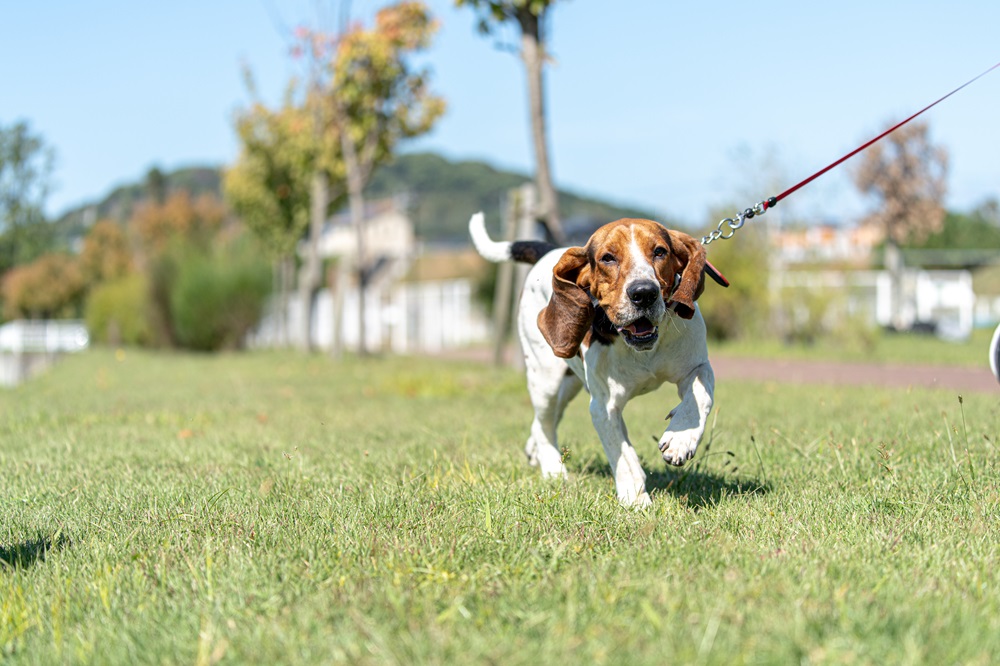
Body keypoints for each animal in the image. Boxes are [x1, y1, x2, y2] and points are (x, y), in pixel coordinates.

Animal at [468, 210, 720, 506]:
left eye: (660, 252)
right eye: (608, 258)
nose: (644, 293)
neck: (641, 350)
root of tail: (549, 251)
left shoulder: (697, 366)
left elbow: (699, 393)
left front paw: (682, 438)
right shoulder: (604, 407)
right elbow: (624, 458)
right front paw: (635, 500)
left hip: (569, 385)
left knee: (545, 421)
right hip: (546, 381)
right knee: (545, 425)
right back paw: (553, 469)